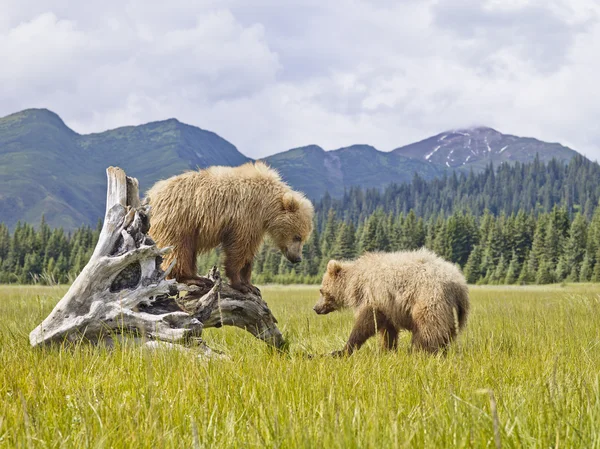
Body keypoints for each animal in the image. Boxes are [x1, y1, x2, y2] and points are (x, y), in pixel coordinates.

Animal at [148, 161, 314, 294]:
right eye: (297, 236)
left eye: (304, 238)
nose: (297, 258)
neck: (266, 206)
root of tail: (151, 194)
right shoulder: (244, 216)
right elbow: (238, 248)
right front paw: (240, 284)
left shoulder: (256, 225)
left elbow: (249, 251)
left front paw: (251, 284)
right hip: (178, 219)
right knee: (178, 249)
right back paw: (191, 279)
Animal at [314, 247, 468, 356]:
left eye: (321, 290)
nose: (315, 308)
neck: (354, 282)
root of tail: (458, 284)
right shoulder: (388, 305)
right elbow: (388, 330)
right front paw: (387, 349)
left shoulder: (373, 295)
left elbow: (366, 322)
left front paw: (344, 349)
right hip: (455, 311)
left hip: (429, 297)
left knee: (428, 327)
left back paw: (420, 351)